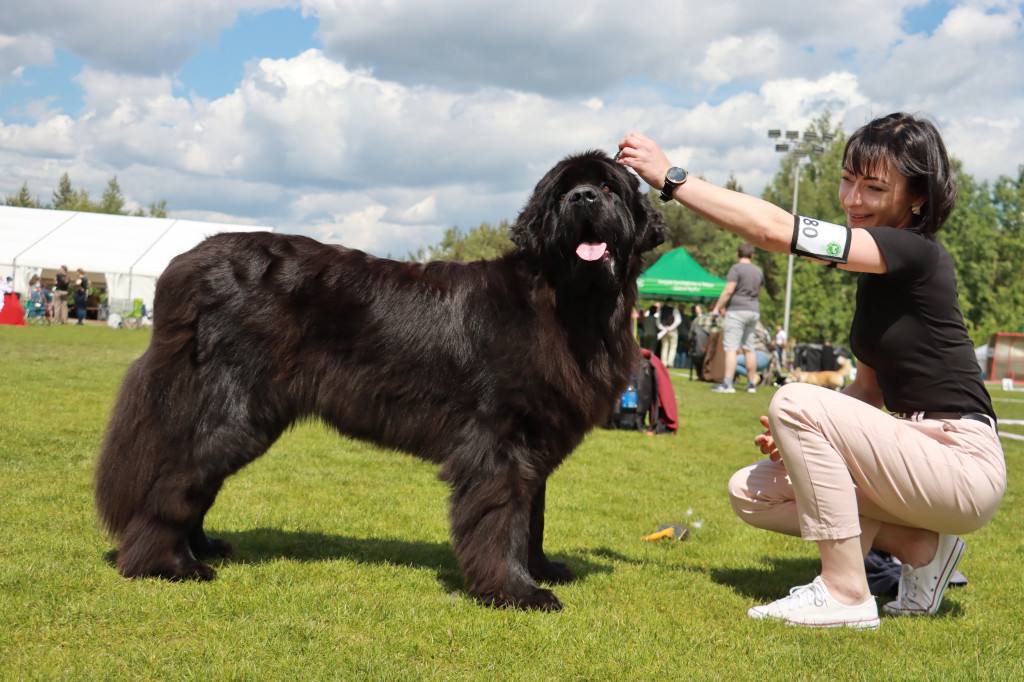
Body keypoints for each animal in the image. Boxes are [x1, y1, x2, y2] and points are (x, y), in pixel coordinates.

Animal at [96, 147, 667, 606]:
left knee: (197, 481)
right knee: (178, 479)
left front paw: (542, 570)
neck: (570, 304)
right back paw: (168, 565)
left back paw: (200, 547)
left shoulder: (536, 440)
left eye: (609, 188)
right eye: (562, 193)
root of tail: (188, 261)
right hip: (234, 410)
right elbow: (503, 519)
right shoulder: (499, 443)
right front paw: (515, 591)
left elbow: (533, 517)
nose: (584, 199)